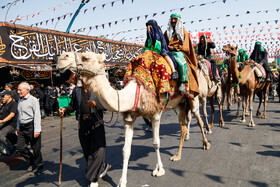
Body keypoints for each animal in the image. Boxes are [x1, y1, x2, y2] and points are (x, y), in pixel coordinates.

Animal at [57, 51, 210, 187]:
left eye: (86, 57)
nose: (61, 58)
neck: (136, 91)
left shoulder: (155, 114)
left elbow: (156, 143)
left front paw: (159, 170)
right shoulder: (129, 118)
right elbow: (126, 150)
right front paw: (122, 182)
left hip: (193, 97)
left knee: (198, 118)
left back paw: (206, 143)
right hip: (178, 105)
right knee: (183, 127)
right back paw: (177, 155)